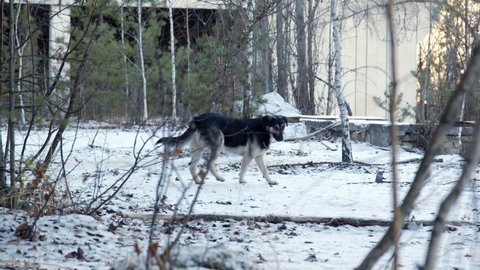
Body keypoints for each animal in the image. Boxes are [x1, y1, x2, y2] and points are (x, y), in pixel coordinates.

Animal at [158, 112, 286, 186]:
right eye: (275, 127)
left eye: (283, 127)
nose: (281, 139)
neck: (263, 129)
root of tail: (198, 119)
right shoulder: (248, 156)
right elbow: (243, 170)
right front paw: (241, 181)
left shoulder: (258, 157)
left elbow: (265, 171)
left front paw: (270, 181)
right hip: (219, 144)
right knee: (209, 163)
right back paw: (218, 178)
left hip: (199, 150)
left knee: (192, 166)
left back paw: (198, 181)